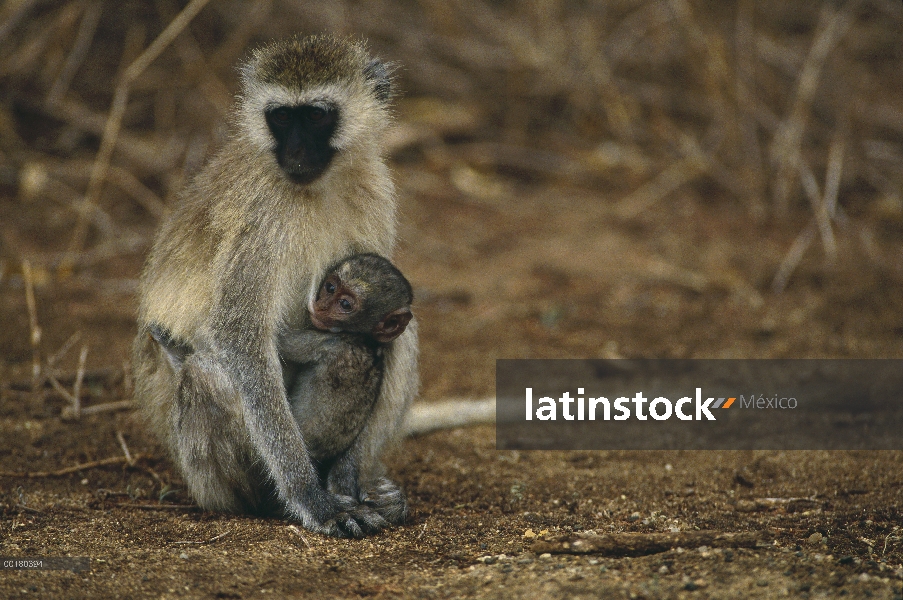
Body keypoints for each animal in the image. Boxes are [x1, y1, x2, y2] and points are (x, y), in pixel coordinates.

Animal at [133, 35, 416, 536]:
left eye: (317, 115)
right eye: (281, 116)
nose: (297, 154)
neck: (316, 186)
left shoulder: (375, 189)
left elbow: (384, 315)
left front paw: (346, 482)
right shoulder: (263, 215)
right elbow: (240, 338)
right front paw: (312, 498)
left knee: (398, 334)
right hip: (200, 471)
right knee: (207, 374)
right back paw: (271, 498)